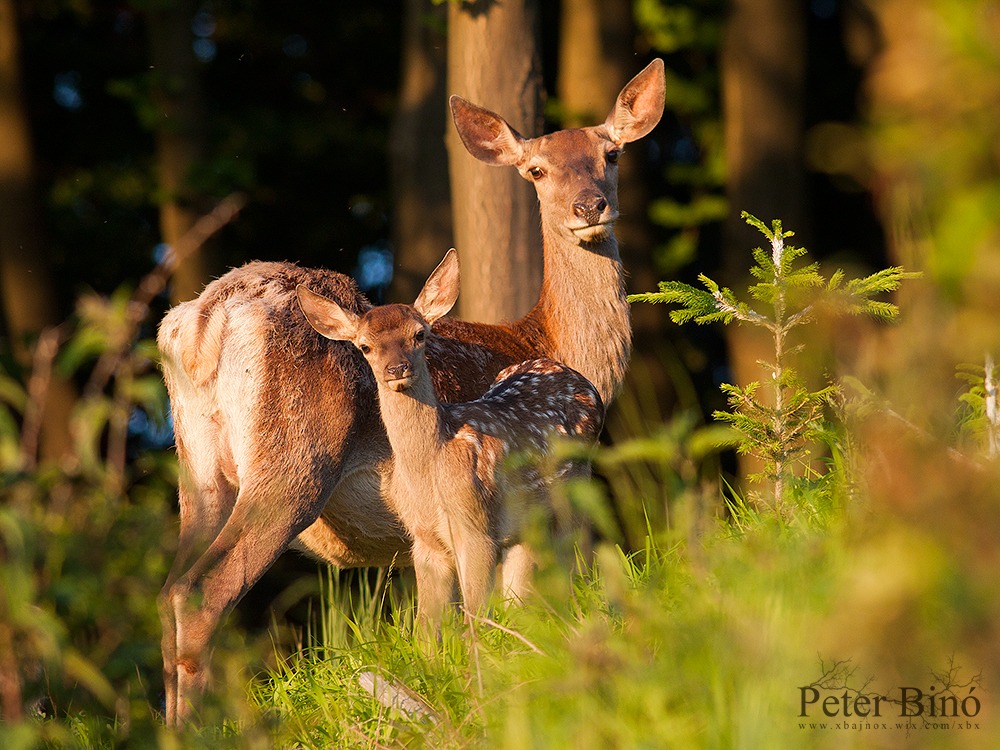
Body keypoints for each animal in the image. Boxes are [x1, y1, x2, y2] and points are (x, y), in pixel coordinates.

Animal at [158, 55, 664, 724]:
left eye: (611, 154)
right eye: (536, 169)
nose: (590, 205)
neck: (548, 341)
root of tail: (203, 321)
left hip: (198, 471)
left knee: (169, 589)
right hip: (292, 459)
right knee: (203, 592)